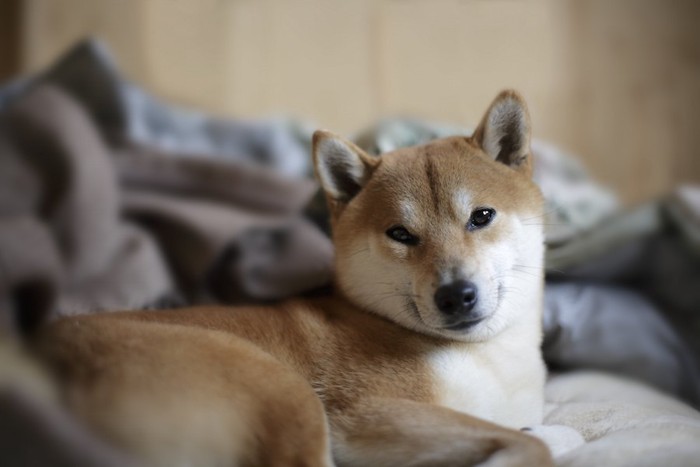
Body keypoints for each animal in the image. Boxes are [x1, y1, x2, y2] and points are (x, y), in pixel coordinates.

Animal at [34, 91, 552, 467]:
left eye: (481, 216)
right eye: (401, 234)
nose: (455, 296)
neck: (484, 354)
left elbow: (536, 434)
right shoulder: (365, 413)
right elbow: (533, 445)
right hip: (282, 389)